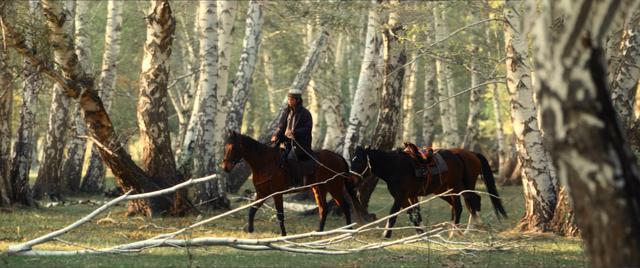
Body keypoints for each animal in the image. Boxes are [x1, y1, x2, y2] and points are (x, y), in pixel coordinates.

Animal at [222, 131, 358, 236]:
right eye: (225, 146)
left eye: (233, 147)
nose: (225, 167)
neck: (265, 163)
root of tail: (338, 157)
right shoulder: (262, 193)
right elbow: (252, 210)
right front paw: (250, 230)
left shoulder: (277, 194)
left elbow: (280, 214)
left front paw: (283, 234)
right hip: (319, 188)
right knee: (323, 208)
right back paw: (319, 231)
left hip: (334, 187)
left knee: (345, 206)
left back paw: (349, 231)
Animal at [348, 143, 508, 238]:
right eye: (352, 160)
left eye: (361, 162)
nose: (351, 180)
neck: (395, 166)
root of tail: (470, 154)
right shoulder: (408, 197)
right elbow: (414, 214)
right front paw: (421, 233)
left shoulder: (399, 197)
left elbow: (393, 215)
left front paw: (386, 235)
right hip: (447, 191)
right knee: (464, 204)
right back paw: (464, 228)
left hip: (459, 187)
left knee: (467, 203)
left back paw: (459, 230)